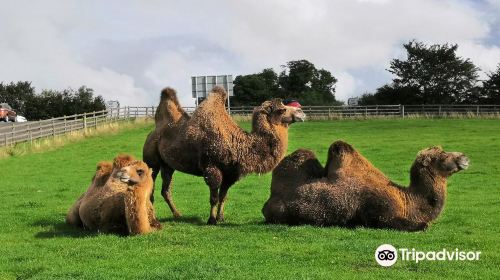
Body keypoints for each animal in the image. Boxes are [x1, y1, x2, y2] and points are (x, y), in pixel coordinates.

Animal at [142, 86, 304, 224]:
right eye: (282, 109)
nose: (301, 112)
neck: (238, 144)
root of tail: (152, 132)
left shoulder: (230, 173)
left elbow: (223, 197)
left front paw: (221, 218)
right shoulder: (212, 168)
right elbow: (214, 197)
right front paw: (211, 220)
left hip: (168, 165)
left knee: (166, 190)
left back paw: (177, 214)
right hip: (152, 161)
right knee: (151, 185)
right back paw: (152, 216)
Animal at [262, 141, 468, 231]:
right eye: (442, 155)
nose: (464, 157)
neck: (407, 201)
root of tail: (268, 202)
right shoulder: (380, 213)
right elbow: (422, 225)